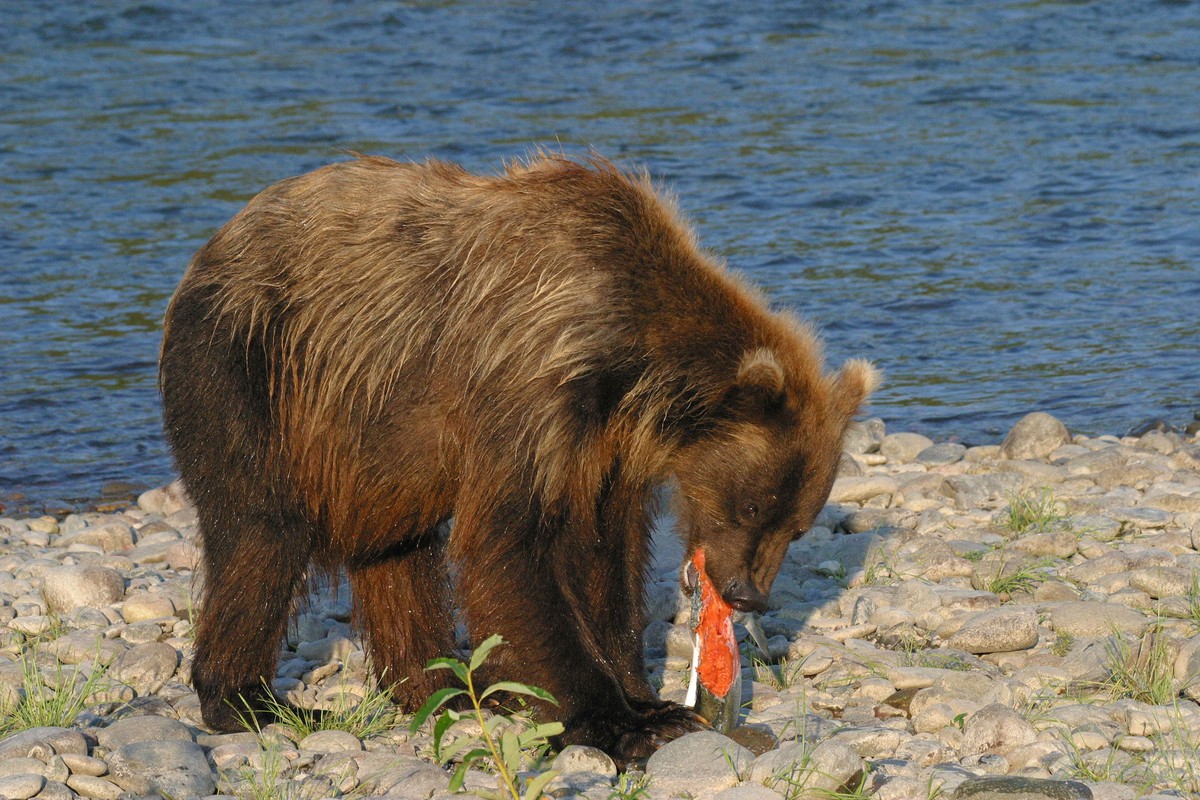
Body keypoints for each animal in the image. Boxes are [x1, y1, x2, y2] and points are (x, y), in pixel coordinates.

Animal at [158, 153, 878, 763]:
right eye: (752, 505)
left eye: (796, 526)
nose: (747, 593)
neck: (629, 362)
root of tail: (212, 244)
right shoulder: (529, 385)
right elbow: (512, 546)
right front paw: (621, 721)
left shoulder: (606, 451)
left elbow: (604, 557)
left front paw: (645, 697)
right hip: (248, 369)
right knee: (261, 532)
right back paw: (248, 701)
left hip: (375, 444)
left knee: (396, 554)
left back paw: (443, 688)